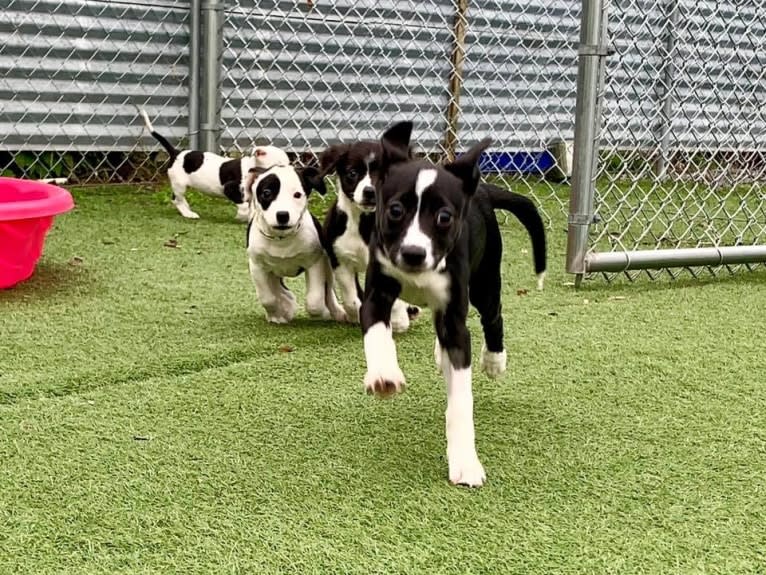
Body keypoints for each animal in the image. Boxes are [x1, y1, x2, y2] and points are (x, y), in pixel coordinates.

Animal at [140, 109, 288, 222]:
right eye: (280, 165)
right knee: (176, 199)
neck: (252, 167)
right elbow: (244, 207)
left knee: (177, 198)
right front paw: (241, 217)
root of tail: (176, 153)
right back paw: (188, 214)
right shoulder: (230, 188)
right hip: (179, 184)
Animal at [225, 165, 348, 324]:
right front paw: (280, 312)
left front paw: (323, 312)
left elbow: (314, 301)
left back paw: (337, 311)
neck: (282, 239)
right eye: (266, 193)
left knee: (328, 290)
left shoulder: (315, 263)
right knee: (277, 288)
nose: (282, 215)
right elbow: (267, 299)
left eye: (297, 194)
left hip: (327, 266)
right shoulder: (257, 267)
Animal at [320, 141, 424, 332]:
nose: (370, 191)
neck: (365, 224)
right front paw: (356, 315)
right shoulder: (340, 260)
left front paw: (398, 321)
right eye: (352, 173)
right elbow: (351, 298)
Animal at [360, 120, 544, 486]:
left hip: (485, 283)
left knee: (493, 317)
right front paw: (384, 373)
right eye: (395, 211)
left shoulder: (457, 325)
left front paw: (465, 463)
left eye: (444, 217)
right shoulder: (376, 293)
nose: (413, 253)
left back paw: (493, 360)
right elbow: (377, 332)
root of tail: (482, 190)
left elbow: (460, 401)